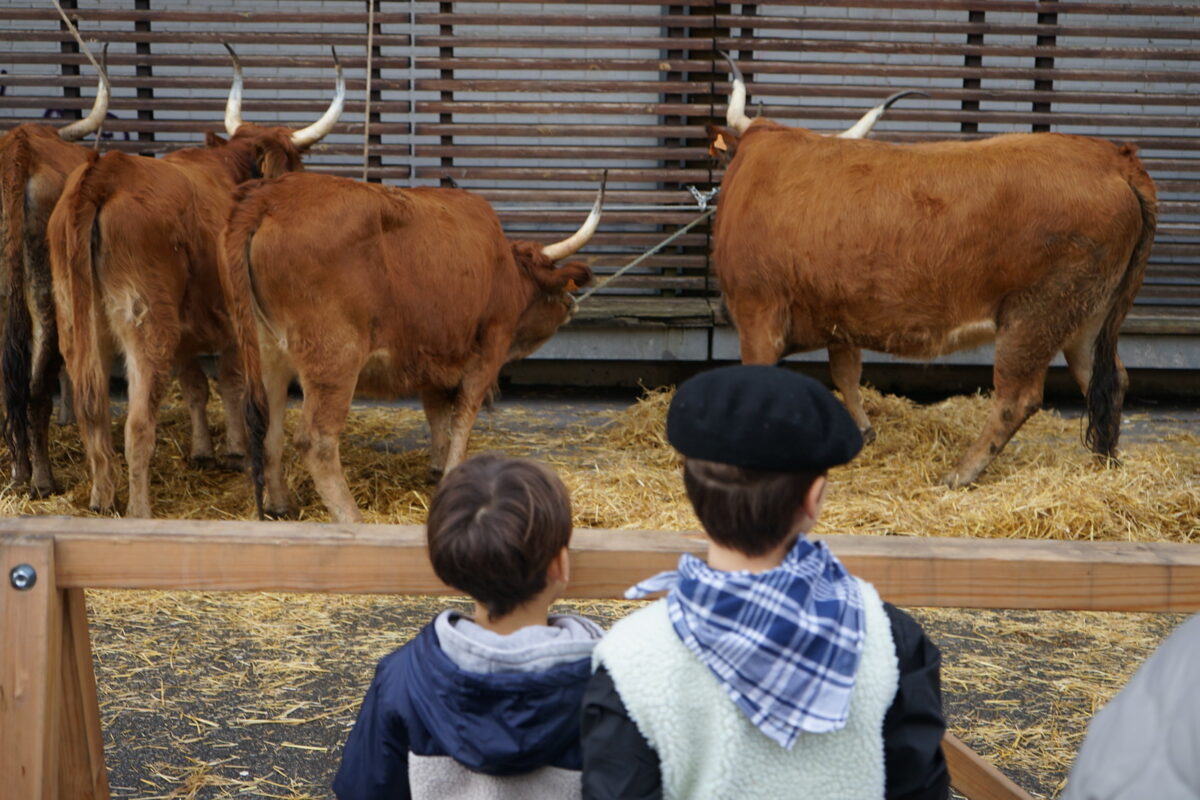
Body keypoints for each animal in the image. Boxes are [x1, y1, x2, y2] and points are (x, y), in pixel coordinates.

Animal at [48, 46, 344, 517]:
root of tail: (104, 172)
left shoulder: (190, 329)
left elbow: (195, 387)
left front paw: (204, 449)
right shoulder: (233, 323)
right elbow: (231, 384)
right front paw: (236, 449)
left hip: (77, 325)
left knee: (90, 411)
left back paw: (101, 497)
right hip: (147, 324)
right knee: (136, 425)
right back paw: (139, 510)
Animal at [219, 172, 604, 523]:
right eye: (556, 288)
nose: (572, 304)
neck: (504, 269)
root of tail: (270, 195)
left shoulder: (434, 358)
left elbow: (437, 415)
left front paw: (437, 467)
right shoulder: (489, 349)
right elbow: (463, 417)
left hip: (267, 354)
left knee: (269, 428)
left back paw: (280, 504)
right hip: (334, 358)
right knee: (317, 442)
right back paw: (352, 519)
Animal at [707, 54, 1157, 487]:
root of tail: (1112, 158)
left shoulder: (758, 313)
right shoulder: (839, 318)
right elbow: (846, 375)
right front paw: (863, 432)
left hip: (1035, 315)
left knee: (1018, 397)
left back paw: (961, 473)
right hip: (1088, 317)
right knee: (1106, 380)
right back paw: (1104, 464)